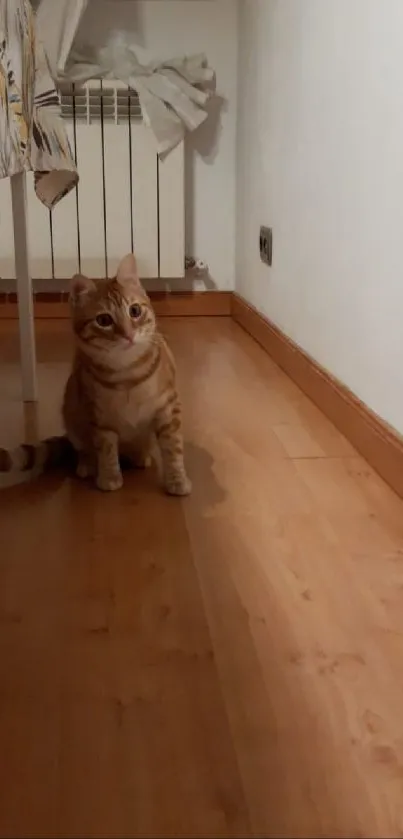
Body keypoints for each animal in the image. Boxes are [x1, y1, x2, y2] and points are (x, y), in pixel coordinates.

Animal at [0, 253, 193, 496]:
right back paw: (88, 465)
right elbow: (107, 449)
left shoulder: (168, 408)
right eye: (104, 320)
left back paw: (140, 457)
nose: (128, 335)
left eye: (135, 311)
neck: (127, 374)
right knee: (84, 450)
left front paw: (177, 479)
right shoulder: (99, 416)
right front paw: (109, 477)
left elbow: (173, 447)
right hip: (72, 415)